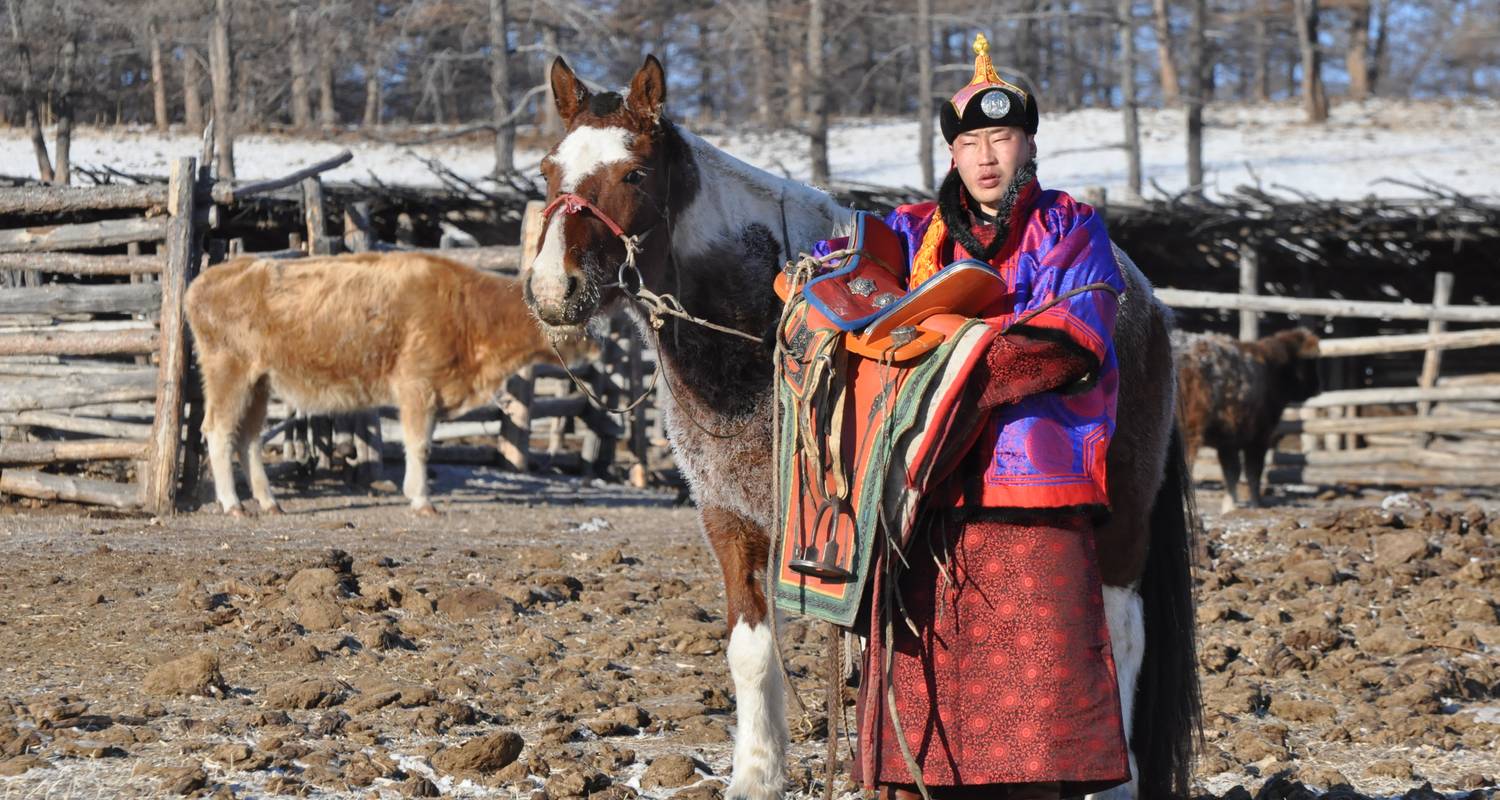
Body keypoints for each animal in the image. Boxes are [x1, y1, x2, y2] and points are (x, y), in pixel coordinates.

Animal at [186, 252, 579, 513]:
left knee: (249, 439)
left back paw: (269, 503)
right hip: (229, 375)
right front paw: (422, 500)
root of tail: (202, 282)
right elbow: (419, 445)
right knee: (219, 431)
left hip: (259, 384)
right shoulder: (417, 388)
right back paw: (233, 505)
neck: (466, 307)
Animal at [522, 52, 1200, 792]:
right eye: (549, 172)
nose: (554, 290)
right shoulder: (729, 519)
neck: (753, 335)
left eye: (634, 174)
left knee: (1122, 634)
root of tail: (1147, 300)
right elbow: (752, 650)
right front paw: (757, 777)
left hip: (1122, 519)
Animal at [1176, 328, 1320, 510]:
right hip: (1190, 432)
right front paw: (1255, 503)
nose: (1317, 388)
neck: (1272, 368)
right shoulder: (1259, 438)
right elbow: (1253, 472)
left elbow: (1232, 473)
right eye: (1310, 361)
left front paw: (1230, 505)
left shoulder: (1228, 442)